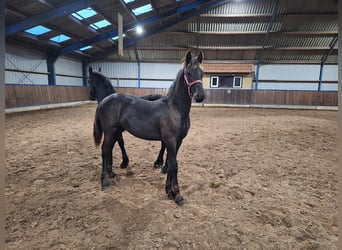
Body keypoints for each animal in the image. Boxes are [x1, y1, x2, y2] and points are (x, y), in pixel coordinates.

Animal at [93, 50, 206, 205]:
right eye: (188, 73)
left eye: (202, 73)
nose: (200, 96)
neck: (175, 109)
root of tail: (104, 101)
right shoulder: (170, 140)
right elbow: (174, 165)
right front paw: (177, 195)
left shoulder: (178, 141)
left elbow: (171, 163)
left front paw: (168, 191)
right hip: (110, 132)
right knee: (105, 151)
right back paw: (104, 181)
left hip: (116, 132)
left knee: (108, 149)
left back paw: (110, 175)